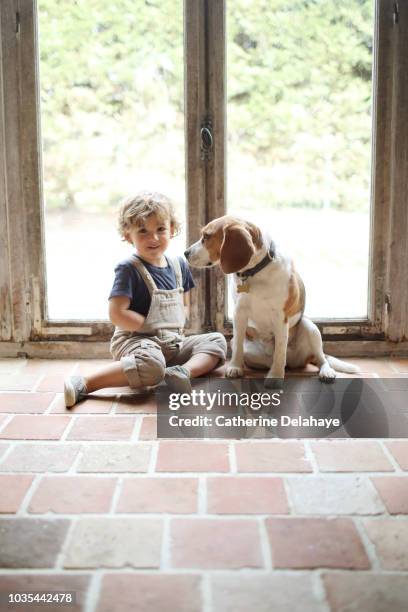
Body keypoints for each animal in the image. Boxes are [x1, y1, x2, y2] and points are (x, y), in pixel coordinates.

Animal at [183, 215, 358, 388]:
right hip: (242, 346)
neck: (254, 273)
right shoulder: (239, 313)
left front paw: (275, 377)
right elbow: (239, 345)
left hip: (310, 327)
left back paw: (325, 372)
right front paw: (235, 367)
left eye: (207, 236)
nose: (185, 253)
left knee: (321, 358)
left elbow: (280, 351)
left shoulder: (280, 317)